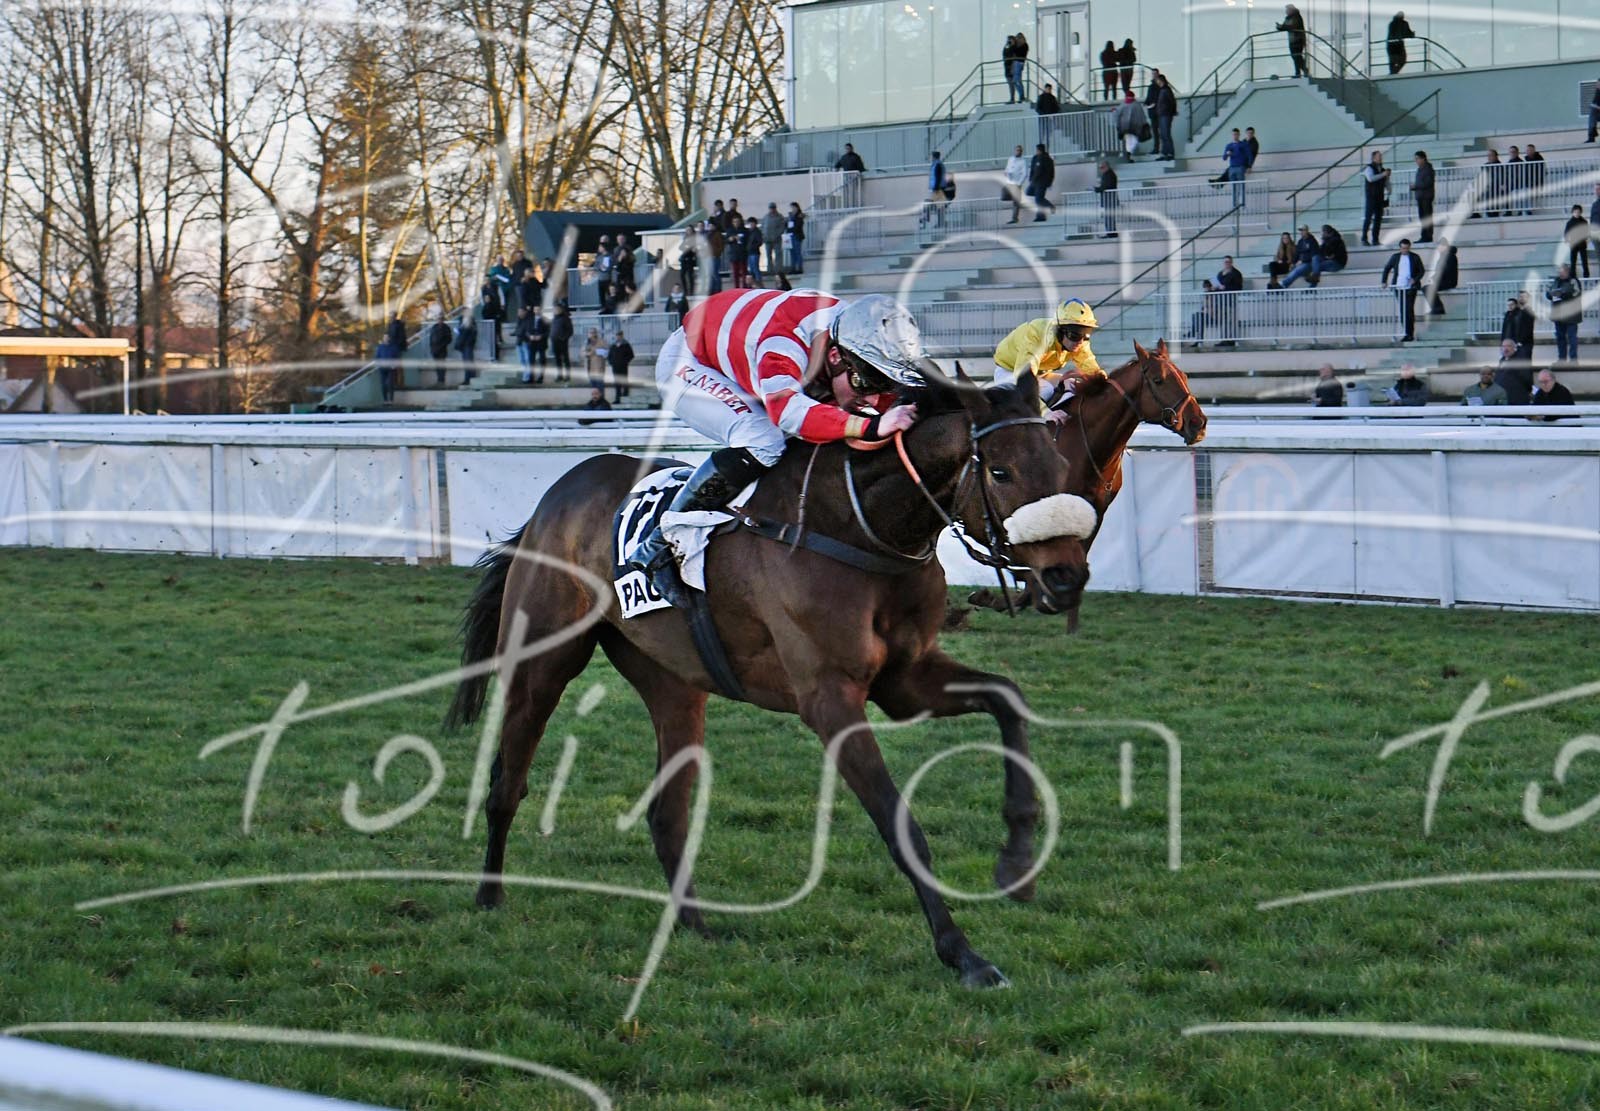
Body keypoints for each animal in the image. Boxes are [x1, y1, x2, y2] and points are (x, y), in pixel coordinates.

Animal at [446, 369, 1096, 988]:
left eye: (1061, 465)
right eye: (1003, 472)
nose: (1066, 577)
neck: (859, 527)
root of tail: (553, 500)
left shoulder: (905, 679)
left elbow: (1008, 699)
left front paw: (1016, 864)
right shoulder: (830, 699)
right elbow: (900, 823)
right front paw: (963, 954)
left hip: (673, 682)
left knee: (667, 812)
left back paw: (696, 924)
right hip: (542, 661)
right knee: (508, 783)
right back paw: (488, 895)